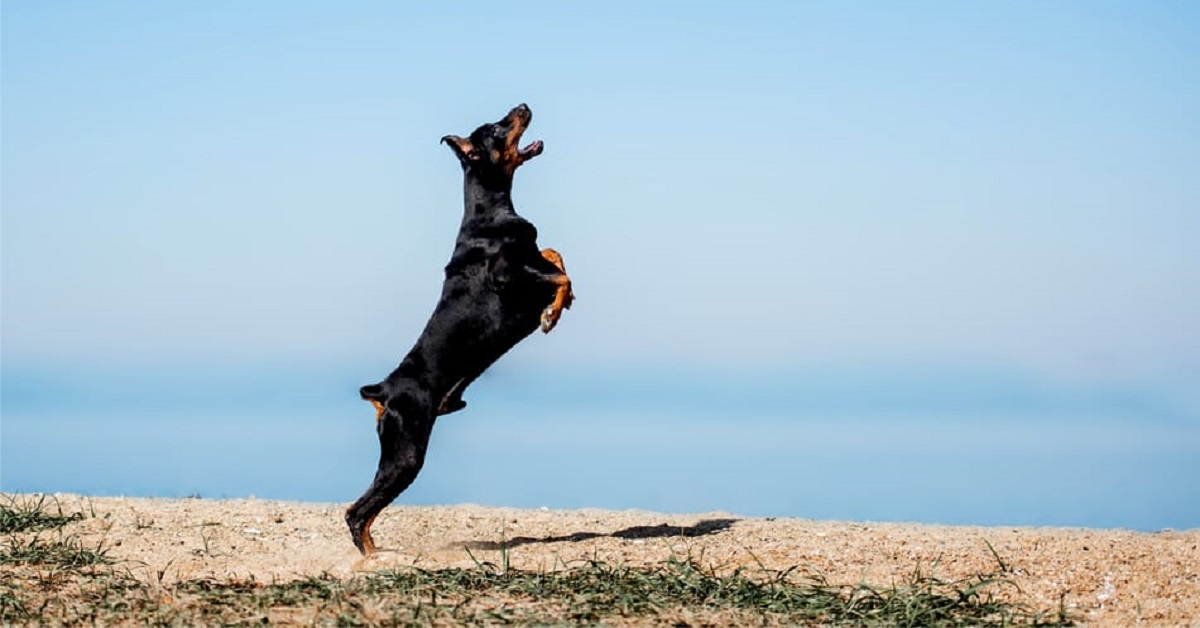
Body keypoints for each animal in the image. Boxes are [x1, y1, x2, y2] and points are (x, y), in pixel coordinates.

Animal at [345, 103, 573, 554]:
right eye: (497, 129)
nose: (523, 106)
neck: (489, 213)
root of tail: (383, 390)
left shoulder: (532, 258)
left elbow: (556, 255)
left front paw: (562, 302)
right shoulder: (507, 275)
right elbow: (560, 274)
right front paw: (551, 315)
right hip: (407, 451)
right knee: (357, 512)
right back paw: (375, 560)